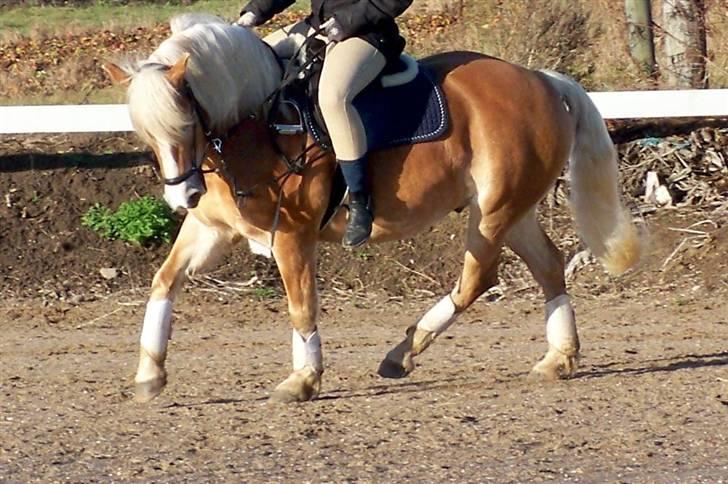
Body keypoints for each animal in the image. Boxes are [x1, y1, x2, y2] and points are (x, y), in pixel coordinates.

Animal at [105, 13, 640, 402]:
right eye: (146, 133)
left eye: (185, 122)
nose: (182, 197)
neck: (256, 125)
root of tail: (540, 79)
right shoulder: (210, 230)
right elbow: (164, 282)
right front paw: (149, 375)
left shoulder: (292, 236)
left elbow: (301, 306)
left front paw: (302, 381)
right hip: (514, 209)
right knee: (548, 266)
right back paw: (557, 359)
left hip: (494, 211)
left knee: (477, 279)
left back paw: (402, 354)